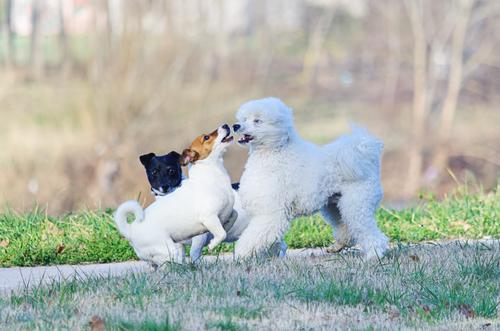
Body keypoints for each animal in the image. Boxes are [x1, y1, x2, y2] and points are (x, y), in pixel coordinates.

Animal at [115, 124, 236, 268]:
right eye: (206, 137)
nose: (225, 125)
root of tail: (130, 230)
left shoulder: (226, 213)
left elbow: (232, 218)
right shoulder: (209, 218)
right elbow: (222, 234)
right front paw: (213, 245)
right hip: (169, 249)